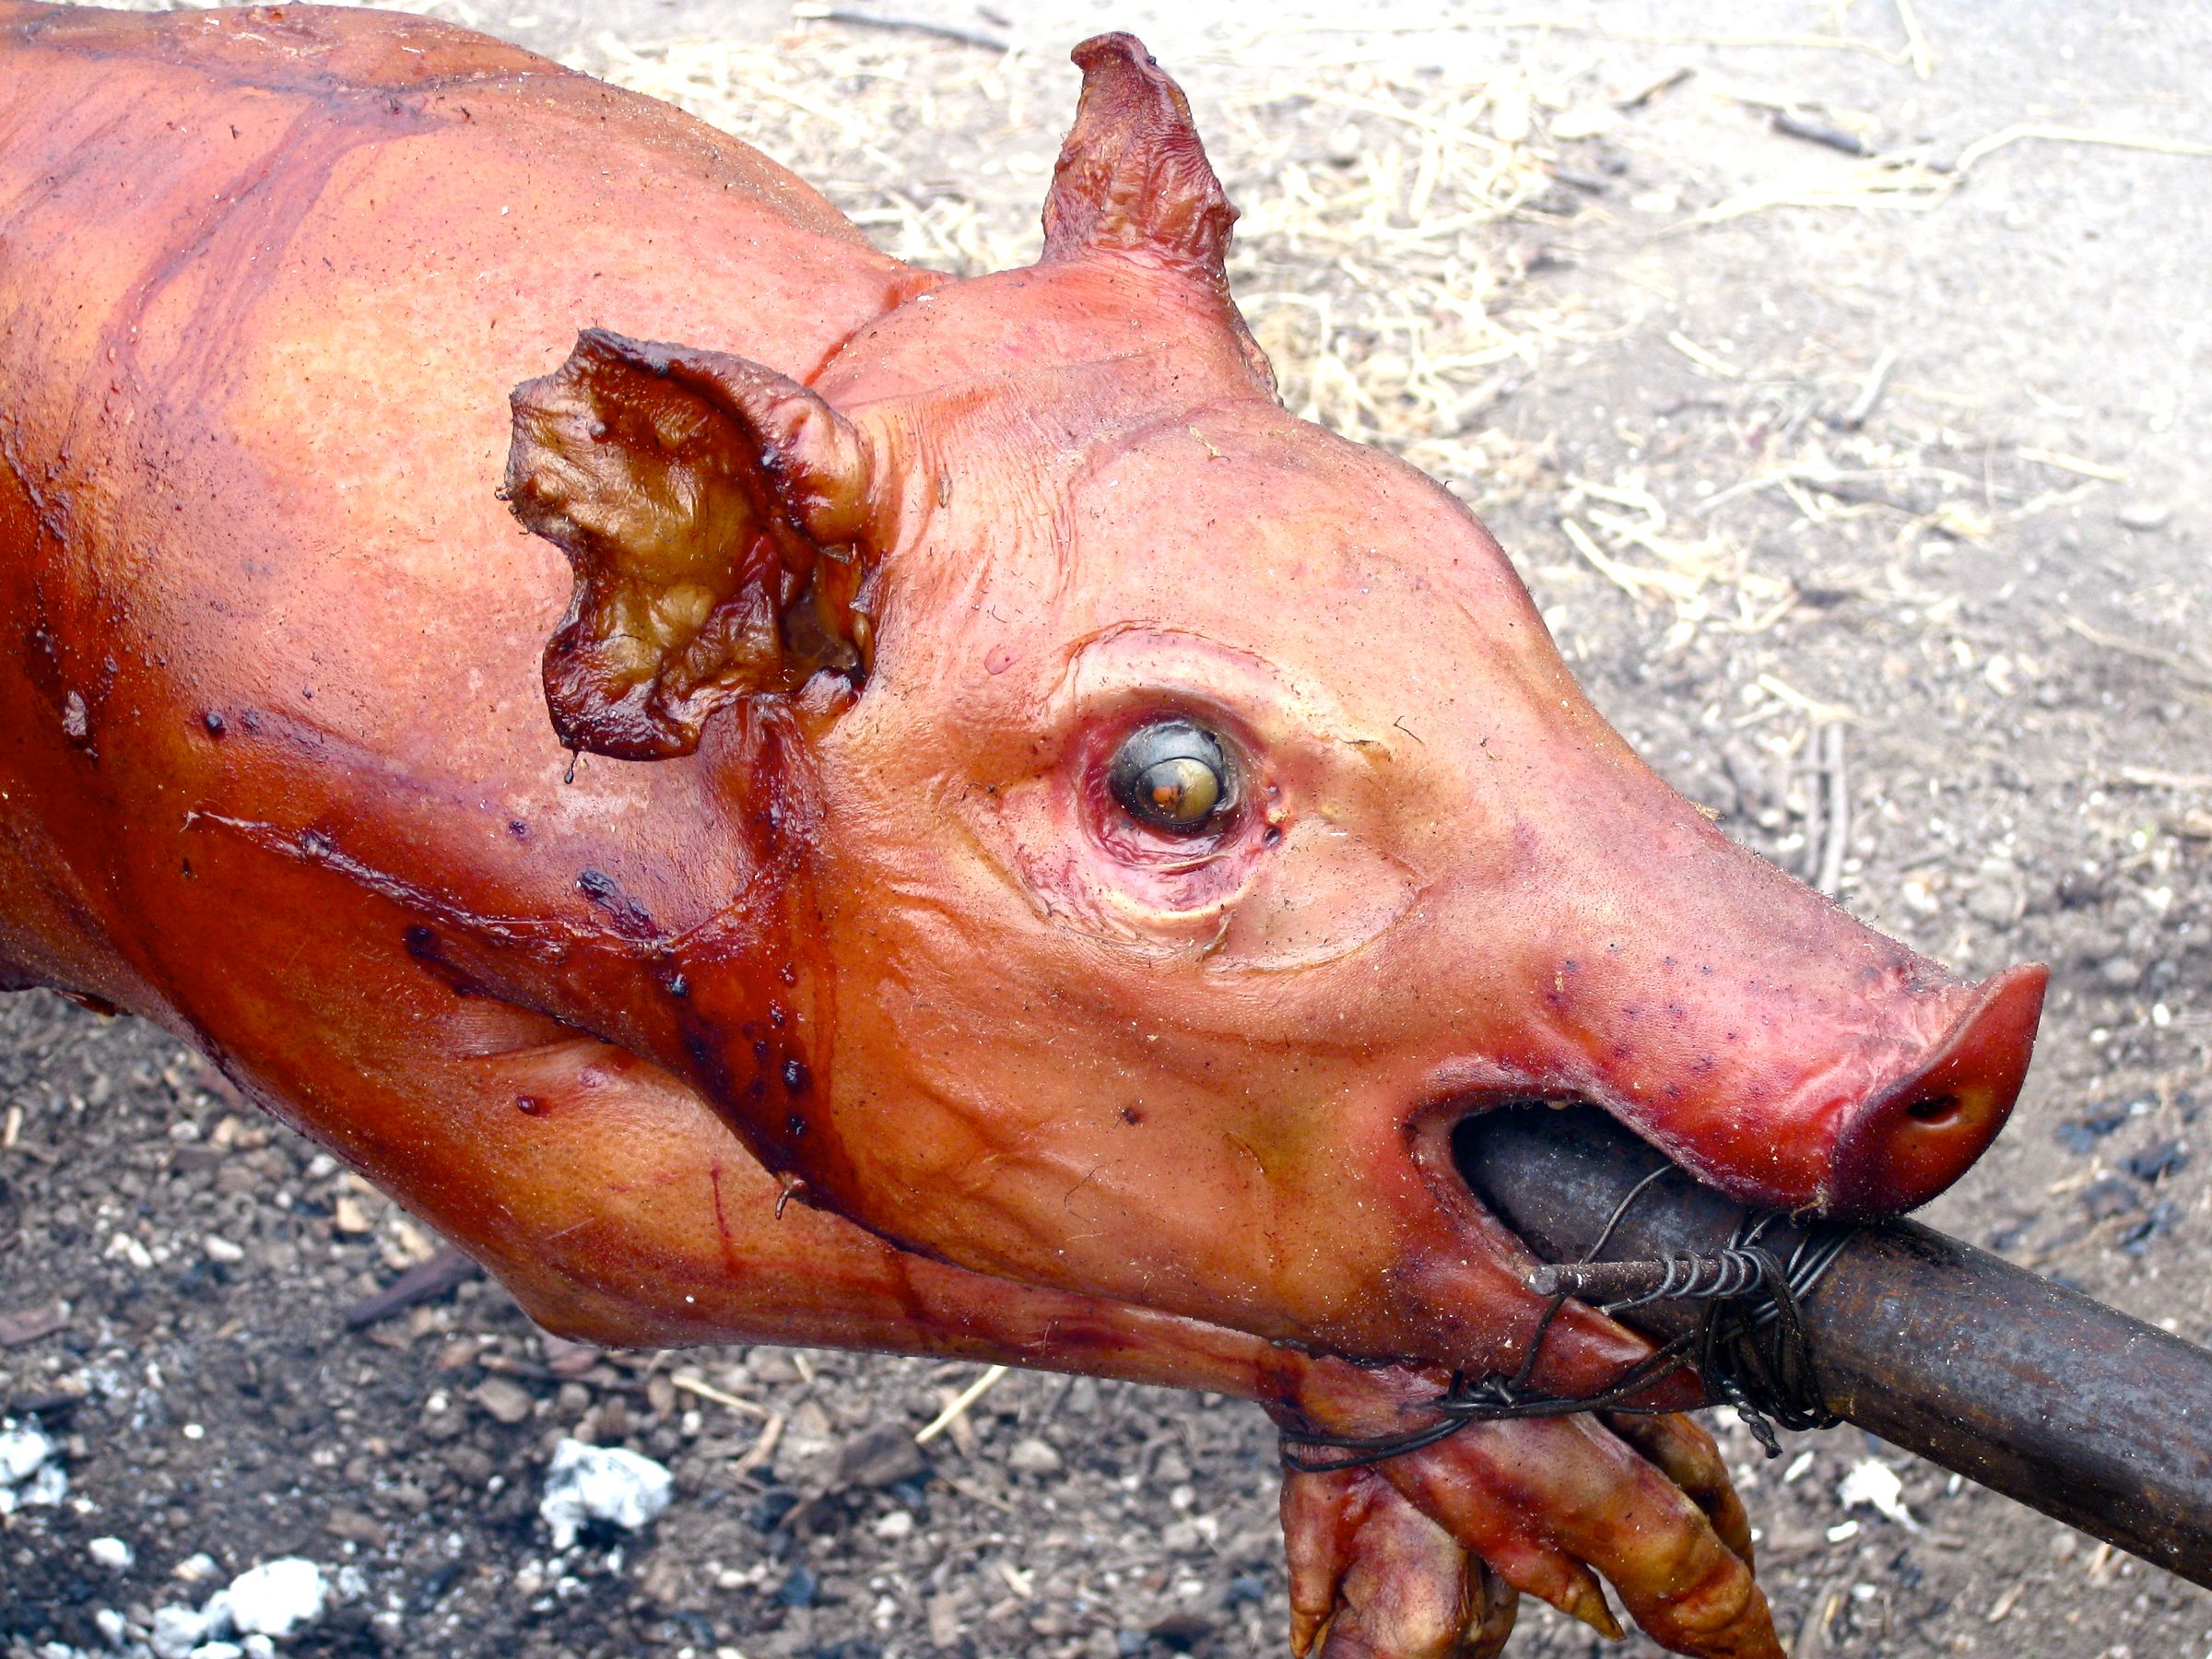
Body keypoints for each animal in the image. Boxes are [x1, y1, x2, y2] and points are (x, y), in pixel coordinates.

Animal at [0, 6, 2047, 1655]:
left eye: (1469, 559)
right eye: (1171, 784)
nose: (1972, 1023)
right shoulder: (285, 962)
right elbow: (646, 1253)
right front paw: (1630, 1545)